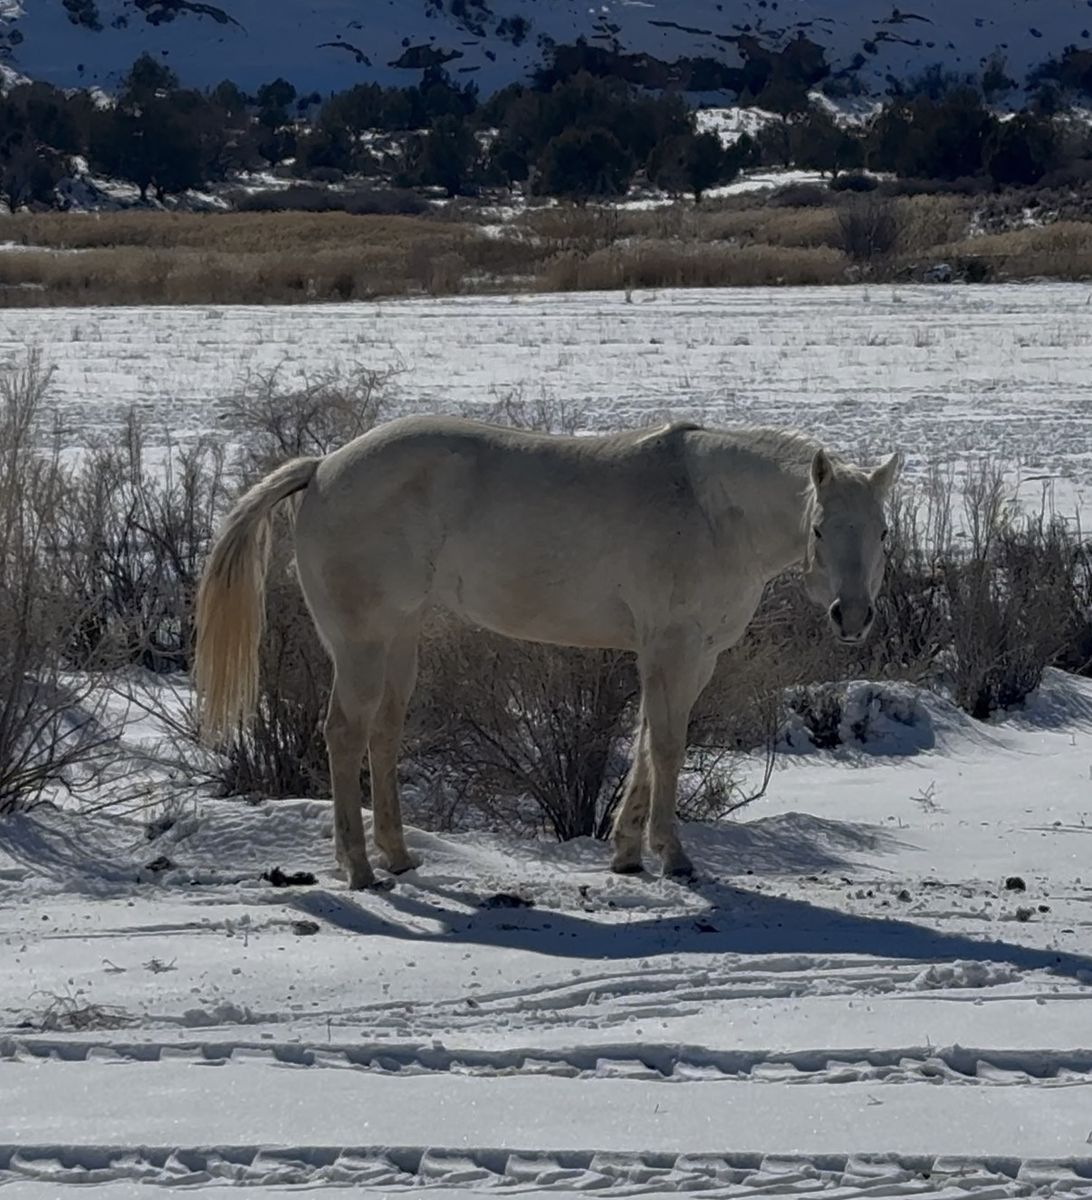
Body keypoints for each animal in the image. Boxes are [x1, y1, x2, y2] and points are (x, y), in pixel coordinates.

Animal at [195, 416, 899, 889]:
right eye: (818, 529)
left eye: (884, 531)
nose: (852, 616)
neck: (709, 511)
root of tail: (323, 468)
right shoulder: (672, 649)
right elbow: (669, 747)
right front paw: (672, 856)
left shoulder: (691, 656)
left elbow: (648, 742)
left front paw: (626, 853)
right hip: (362, 642)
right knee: (344, 733)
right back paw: (360, 868)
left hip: (399, 636)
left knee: (383, 733)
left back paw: (397, 855)